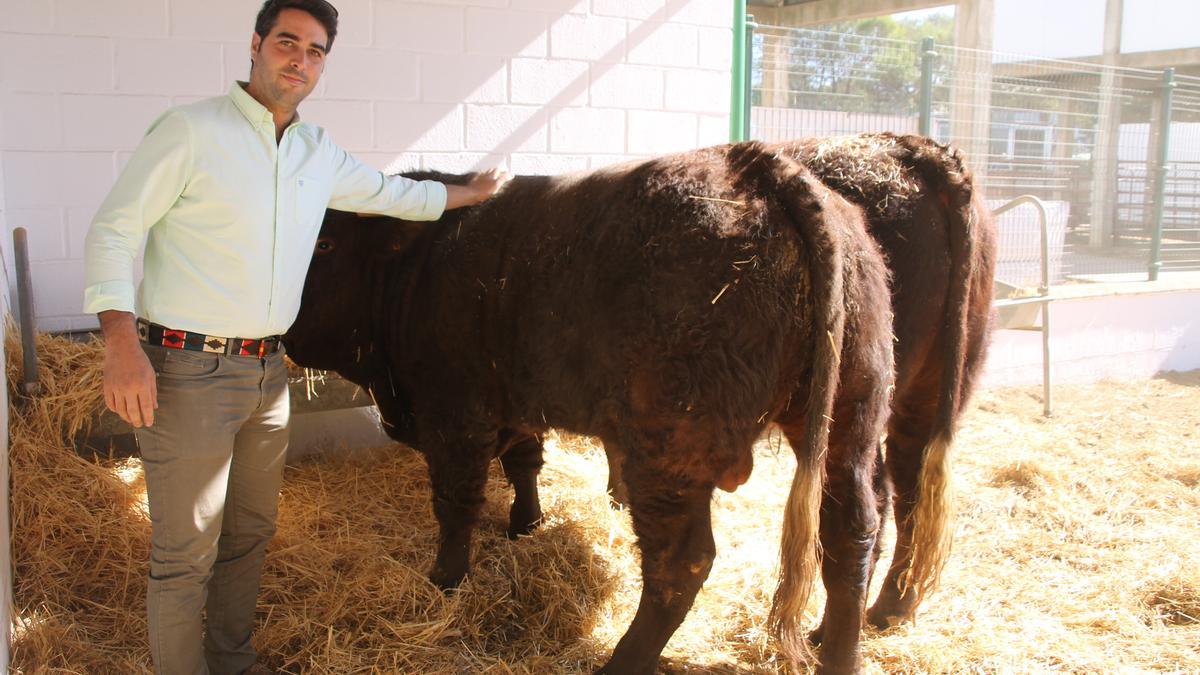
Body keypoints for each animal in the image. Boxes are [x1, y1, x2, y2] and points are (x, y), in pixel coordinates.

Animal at [285, 139, 897, 667]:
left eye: (326, 244)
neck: (412, 270)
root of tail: (755, 165)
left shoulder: (453, 416)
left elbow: (456, 503)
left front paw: (446, 578)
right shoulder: (515, 401)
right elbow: (524, 462)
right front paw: (526, 524)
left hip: (669, 449)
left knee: (682, 561)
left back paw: (623, 660)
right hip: (852, 420)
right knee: (851, 533)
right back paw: (838, 654)